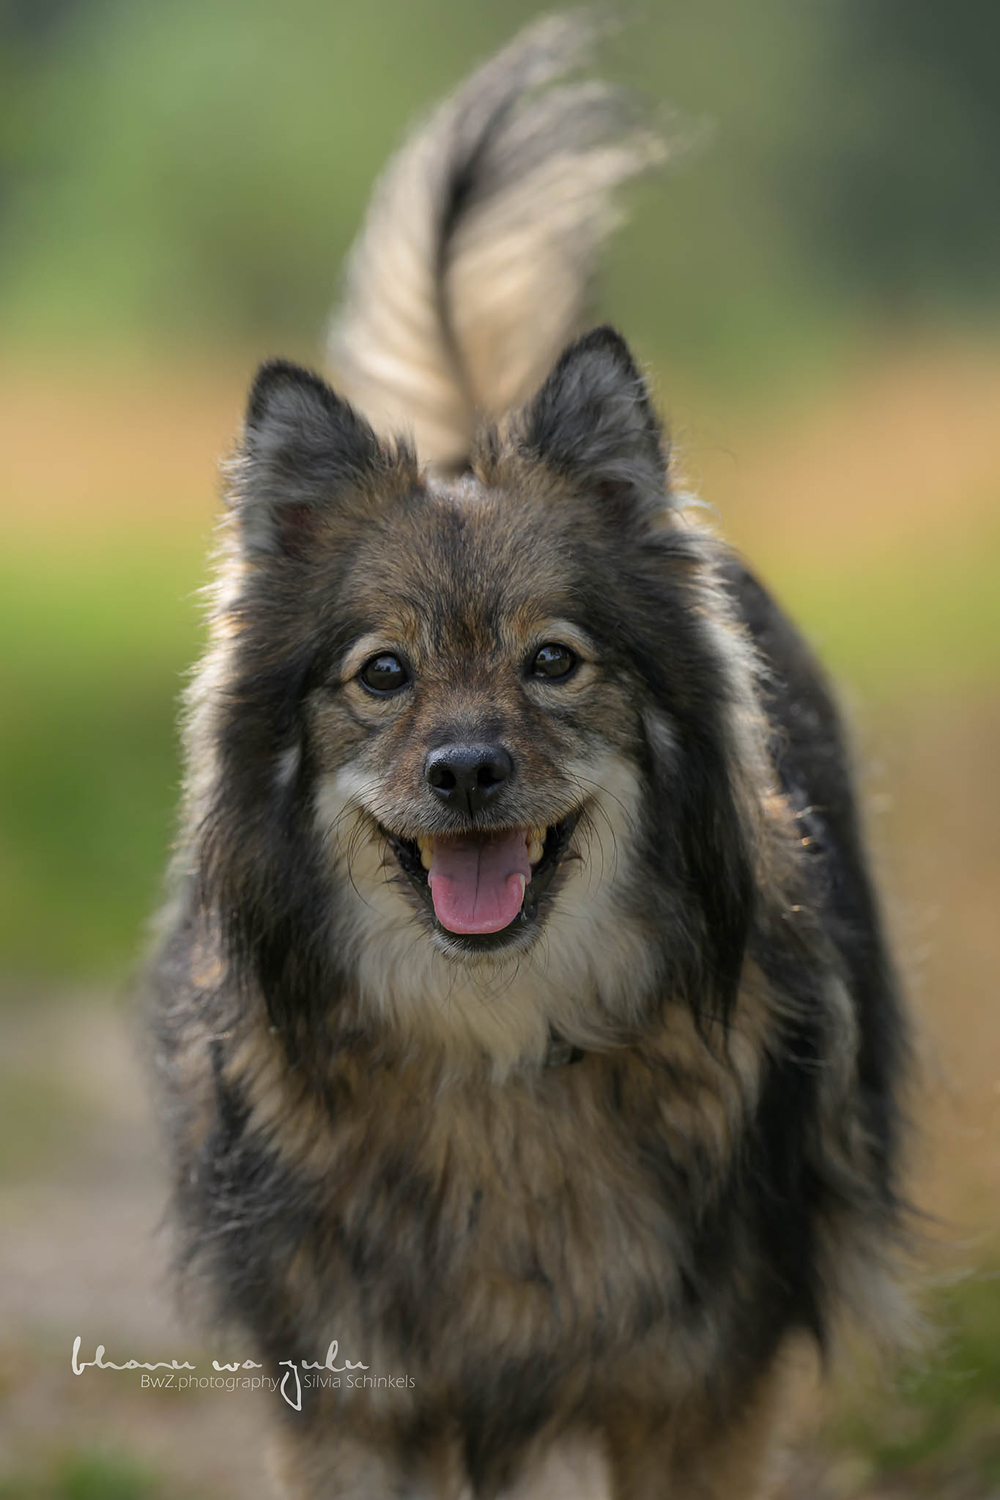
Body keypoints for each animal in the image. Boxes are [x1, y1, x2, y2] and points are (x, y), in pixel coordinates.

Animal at [146, 14, 905, 1500]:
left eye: (554, 662)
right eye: (382, 675)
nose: (467, 774)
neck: (497, 1058)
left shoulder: (697, 1397)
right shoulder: (354, 1405)